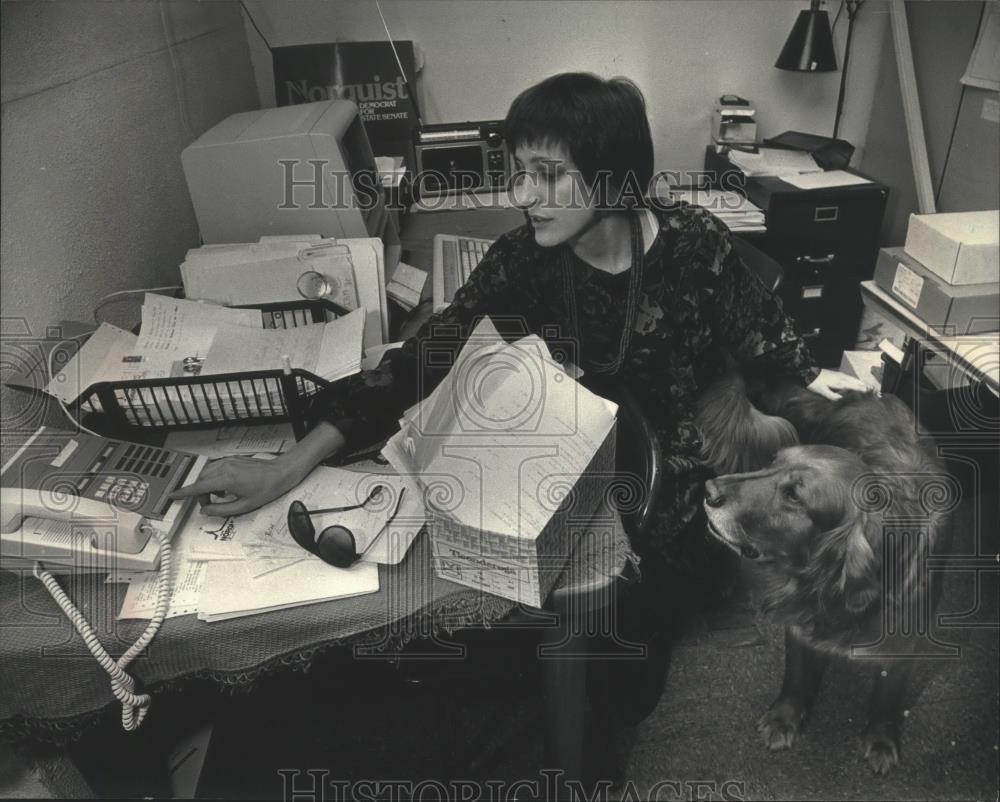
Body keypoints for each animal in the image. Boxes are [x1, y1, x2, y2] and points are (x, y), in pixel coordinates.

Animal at [696, 372, 952, 772]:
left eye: (794, 496)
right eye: (772, 462)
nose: (709, 490)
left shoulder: (902, 645)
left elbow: (888, 696)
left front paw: (881, 738)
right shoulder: (803, 624)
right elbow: (797, 678)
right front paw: (784, 719)